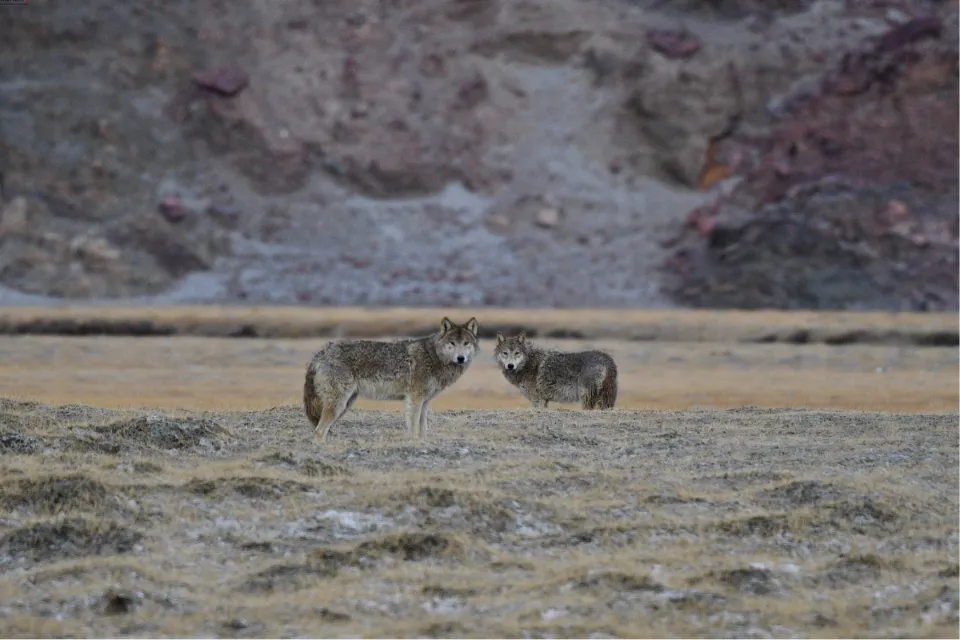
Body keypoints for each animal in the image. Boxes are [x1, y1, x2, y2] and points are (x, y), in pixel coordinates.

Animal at [304, 317, 479, 441]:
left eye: (466, 343)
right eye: (452, 343)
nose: (461, 358)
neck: (434, 356)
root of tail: (322, 351)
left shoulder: (425, 402)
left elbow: (423, 428)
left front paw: (422, 442)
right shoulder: (414, 399)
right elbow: (413, 427)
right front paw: (413, 442)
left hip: (346, 403)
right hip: (338, 404)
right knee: (319, 430)